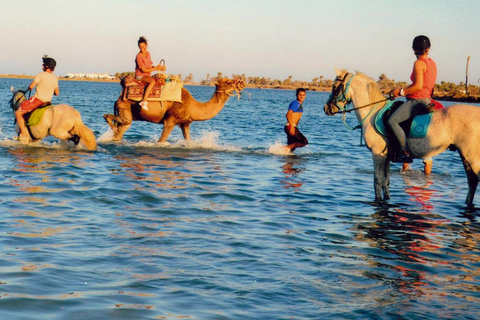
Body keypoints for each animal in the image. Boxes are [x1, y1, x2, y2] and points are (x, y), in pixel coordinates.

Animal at [103, 77, 246, 142]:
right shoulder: (170, 121)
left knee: (121, 129)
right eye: (228, 82)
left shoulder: (185, 123)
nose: (241, 82)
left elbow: (188, 141)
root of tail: (119, 98)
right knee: (111, 118)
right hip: (125, 108)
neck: (191, 105)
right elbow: (160, 142)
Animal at [324, 69, 480, 206]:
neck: (373, 112)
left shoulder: (377, 154)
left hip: (472, 156)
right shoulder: (386, 156)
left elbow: (377, 181)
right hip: (464, 155)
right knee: (472, 181)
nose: (326, 108)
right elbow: (386, 182)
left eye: (335, 87)